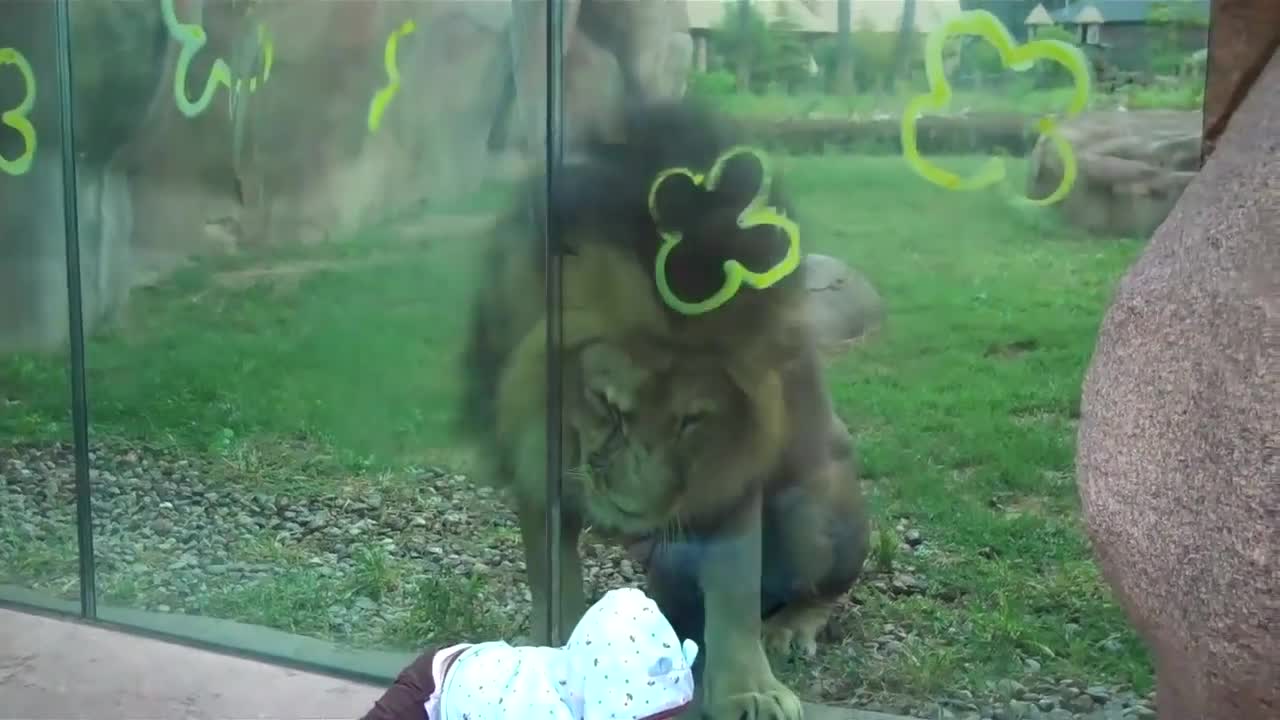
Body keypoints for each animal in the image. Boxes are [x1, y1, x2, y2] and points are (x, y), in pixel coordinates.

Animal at [453, 96, 870, 717]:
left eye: (692, 421)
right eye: (607, 405)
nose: (633, 508)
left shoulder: (734, 472)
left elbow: (734, 591)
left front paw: (750, 690)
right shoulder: (536, 470)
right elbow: (555, 582)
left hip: (815, 504)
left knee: (818, 591)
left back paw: (790, 626)